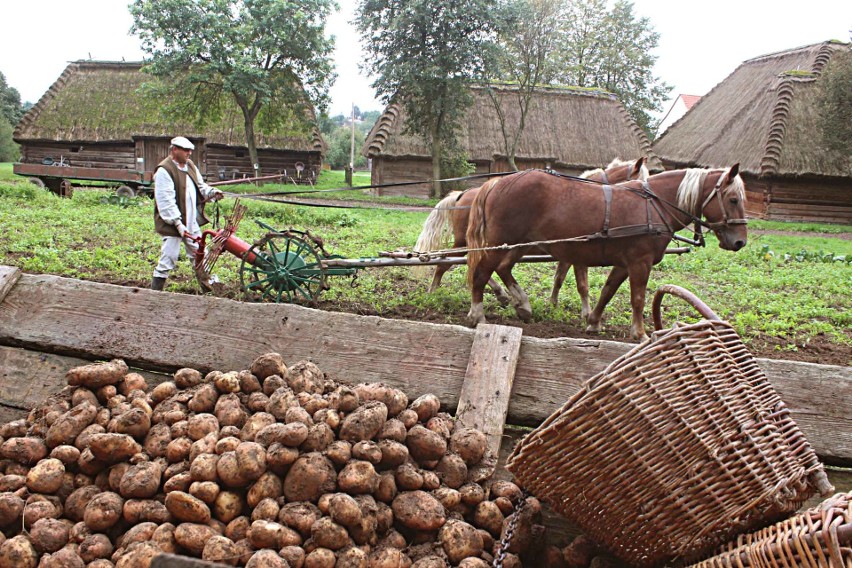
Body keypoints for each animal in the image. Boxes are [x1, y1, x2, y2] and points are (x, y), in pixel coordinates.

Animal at [412, 158, 644, 312]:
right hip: (471, 241)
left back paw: (502, 295)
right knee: (451, 263)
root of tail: (462, 194)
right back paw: (434, 290)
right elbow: (581, 284)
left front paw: (553, 303)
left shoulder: (569, 253)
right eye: (641, 178)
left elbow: (560, 278)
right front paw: (584, 312)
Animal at [466, 165, 744, 342]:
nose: (740, 241)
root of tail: (496, 183)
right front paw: (640, 333)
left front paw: (593, 321)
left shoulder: (624, 263)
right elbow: (638, 299)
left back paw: (522, 305)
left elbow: (607, 291)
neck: (654, 205)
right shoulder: (640, 263)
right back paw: (478, 314)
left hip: (520, 244)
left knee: (503, 268)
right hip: (500, 243)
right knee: (481, 274)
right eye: (733, 199)